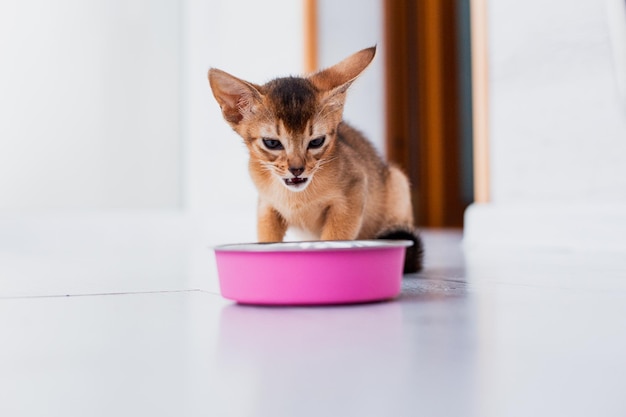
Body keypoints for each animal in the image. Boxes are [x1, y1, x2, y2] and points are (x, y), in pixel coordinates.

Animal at [207, 46, 422, 272]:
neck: (297, 198)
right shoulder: (266, 207)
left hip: (398, 182)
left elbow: (336, 239)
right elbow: (267, 239)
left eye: (317, 141)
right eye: (272, 143)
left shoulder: (354, 191)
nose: (297, 169)